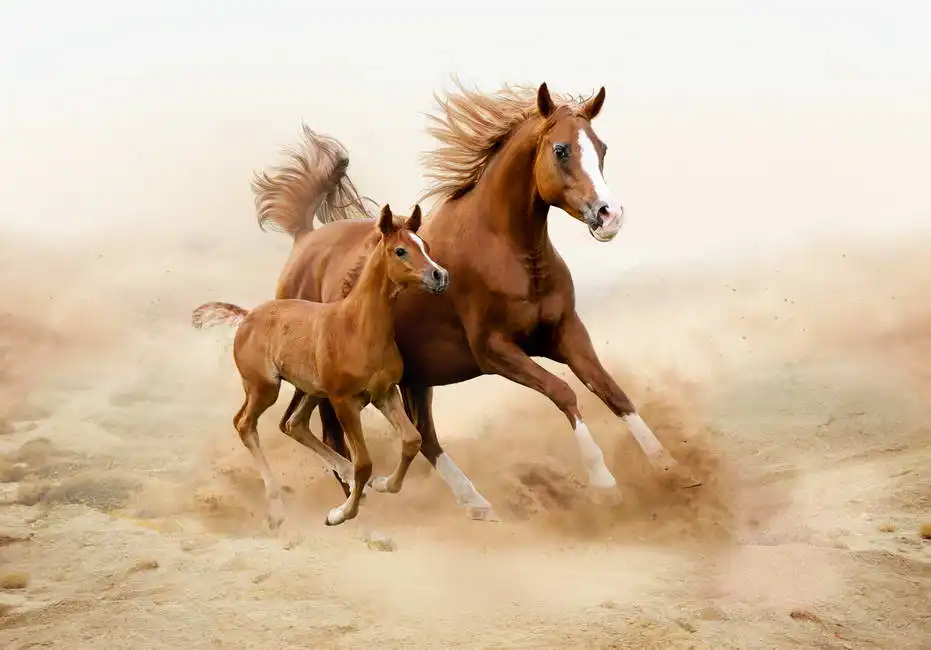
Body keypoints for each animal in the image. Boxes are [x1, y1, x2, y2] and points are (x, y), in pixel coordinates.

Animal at [191, 204, 449, 527]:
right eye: (400, 250)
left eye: (424, 245)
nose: (440, 275)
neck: (357, 328)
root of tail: (247, 315)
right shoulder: (344, 402)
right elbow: (364, 462)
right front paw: (340, 514)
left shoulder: (384, 393)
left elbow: (412, 440)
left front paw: (383, 484)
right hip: (265, 388)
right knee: (245, 423)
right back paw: (277, 506)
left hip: (311, 390)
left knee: (294, 423)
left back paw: (347, 478)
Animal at [252, 81, 701, 522]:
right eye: (561, 149)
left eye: (601, 147)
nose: (610, 216)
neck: (510, 252)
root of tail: (305, 239)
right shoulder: (495, 351)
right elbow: (564, 393)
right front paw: (605, 484)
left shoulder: (566, 333)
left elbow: (611, 391)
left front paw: (672, 470)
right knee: (322, 430)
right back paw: (358, 505)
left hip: (415, 377)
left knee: (423, 436)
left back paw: (474, 502)